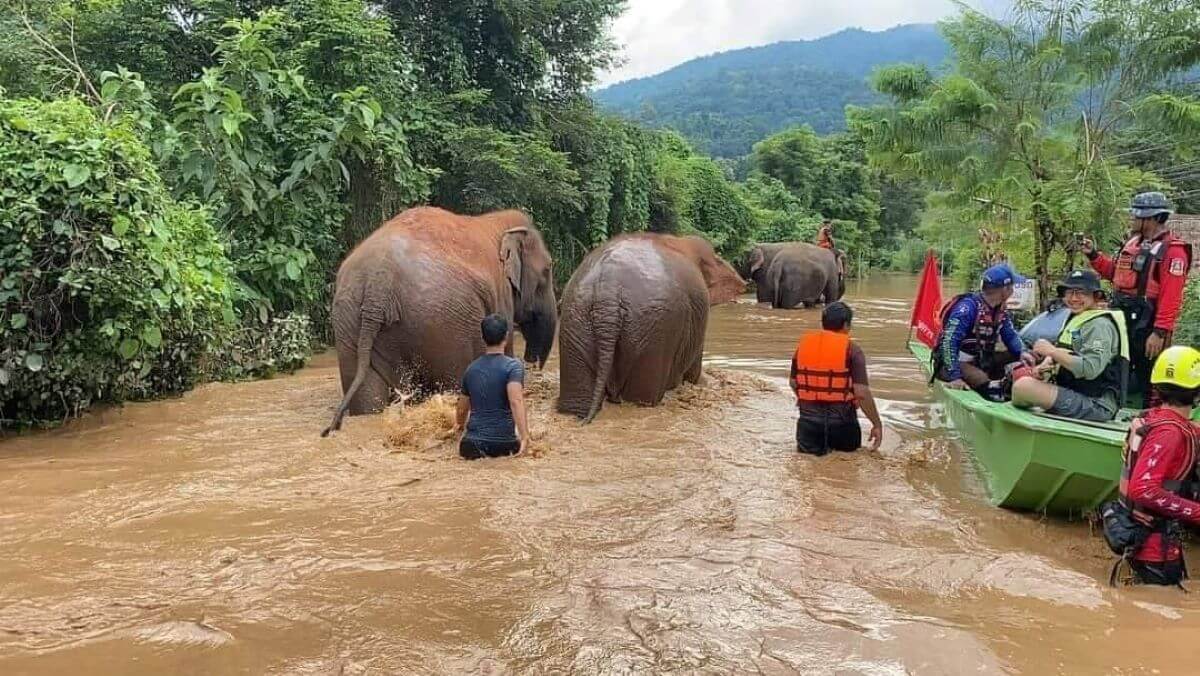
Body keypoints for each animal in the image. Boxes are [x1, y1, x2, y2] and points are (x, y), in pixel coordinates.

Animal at [324, 206, 556, 437]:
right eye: (547, 270)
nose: (532, 364)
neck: (498, 223)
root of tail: (378, 283)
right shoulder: (501, 294)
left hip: (348, 318)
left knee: (368, 399)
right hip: (447, 324)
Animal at [556, 234, 744, 422]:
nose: (744, 285)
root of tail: (609, 289)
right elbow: (694, 369)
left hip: (577, 315)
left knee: (578, 399)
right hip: (656, 328)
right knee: (643, 396)